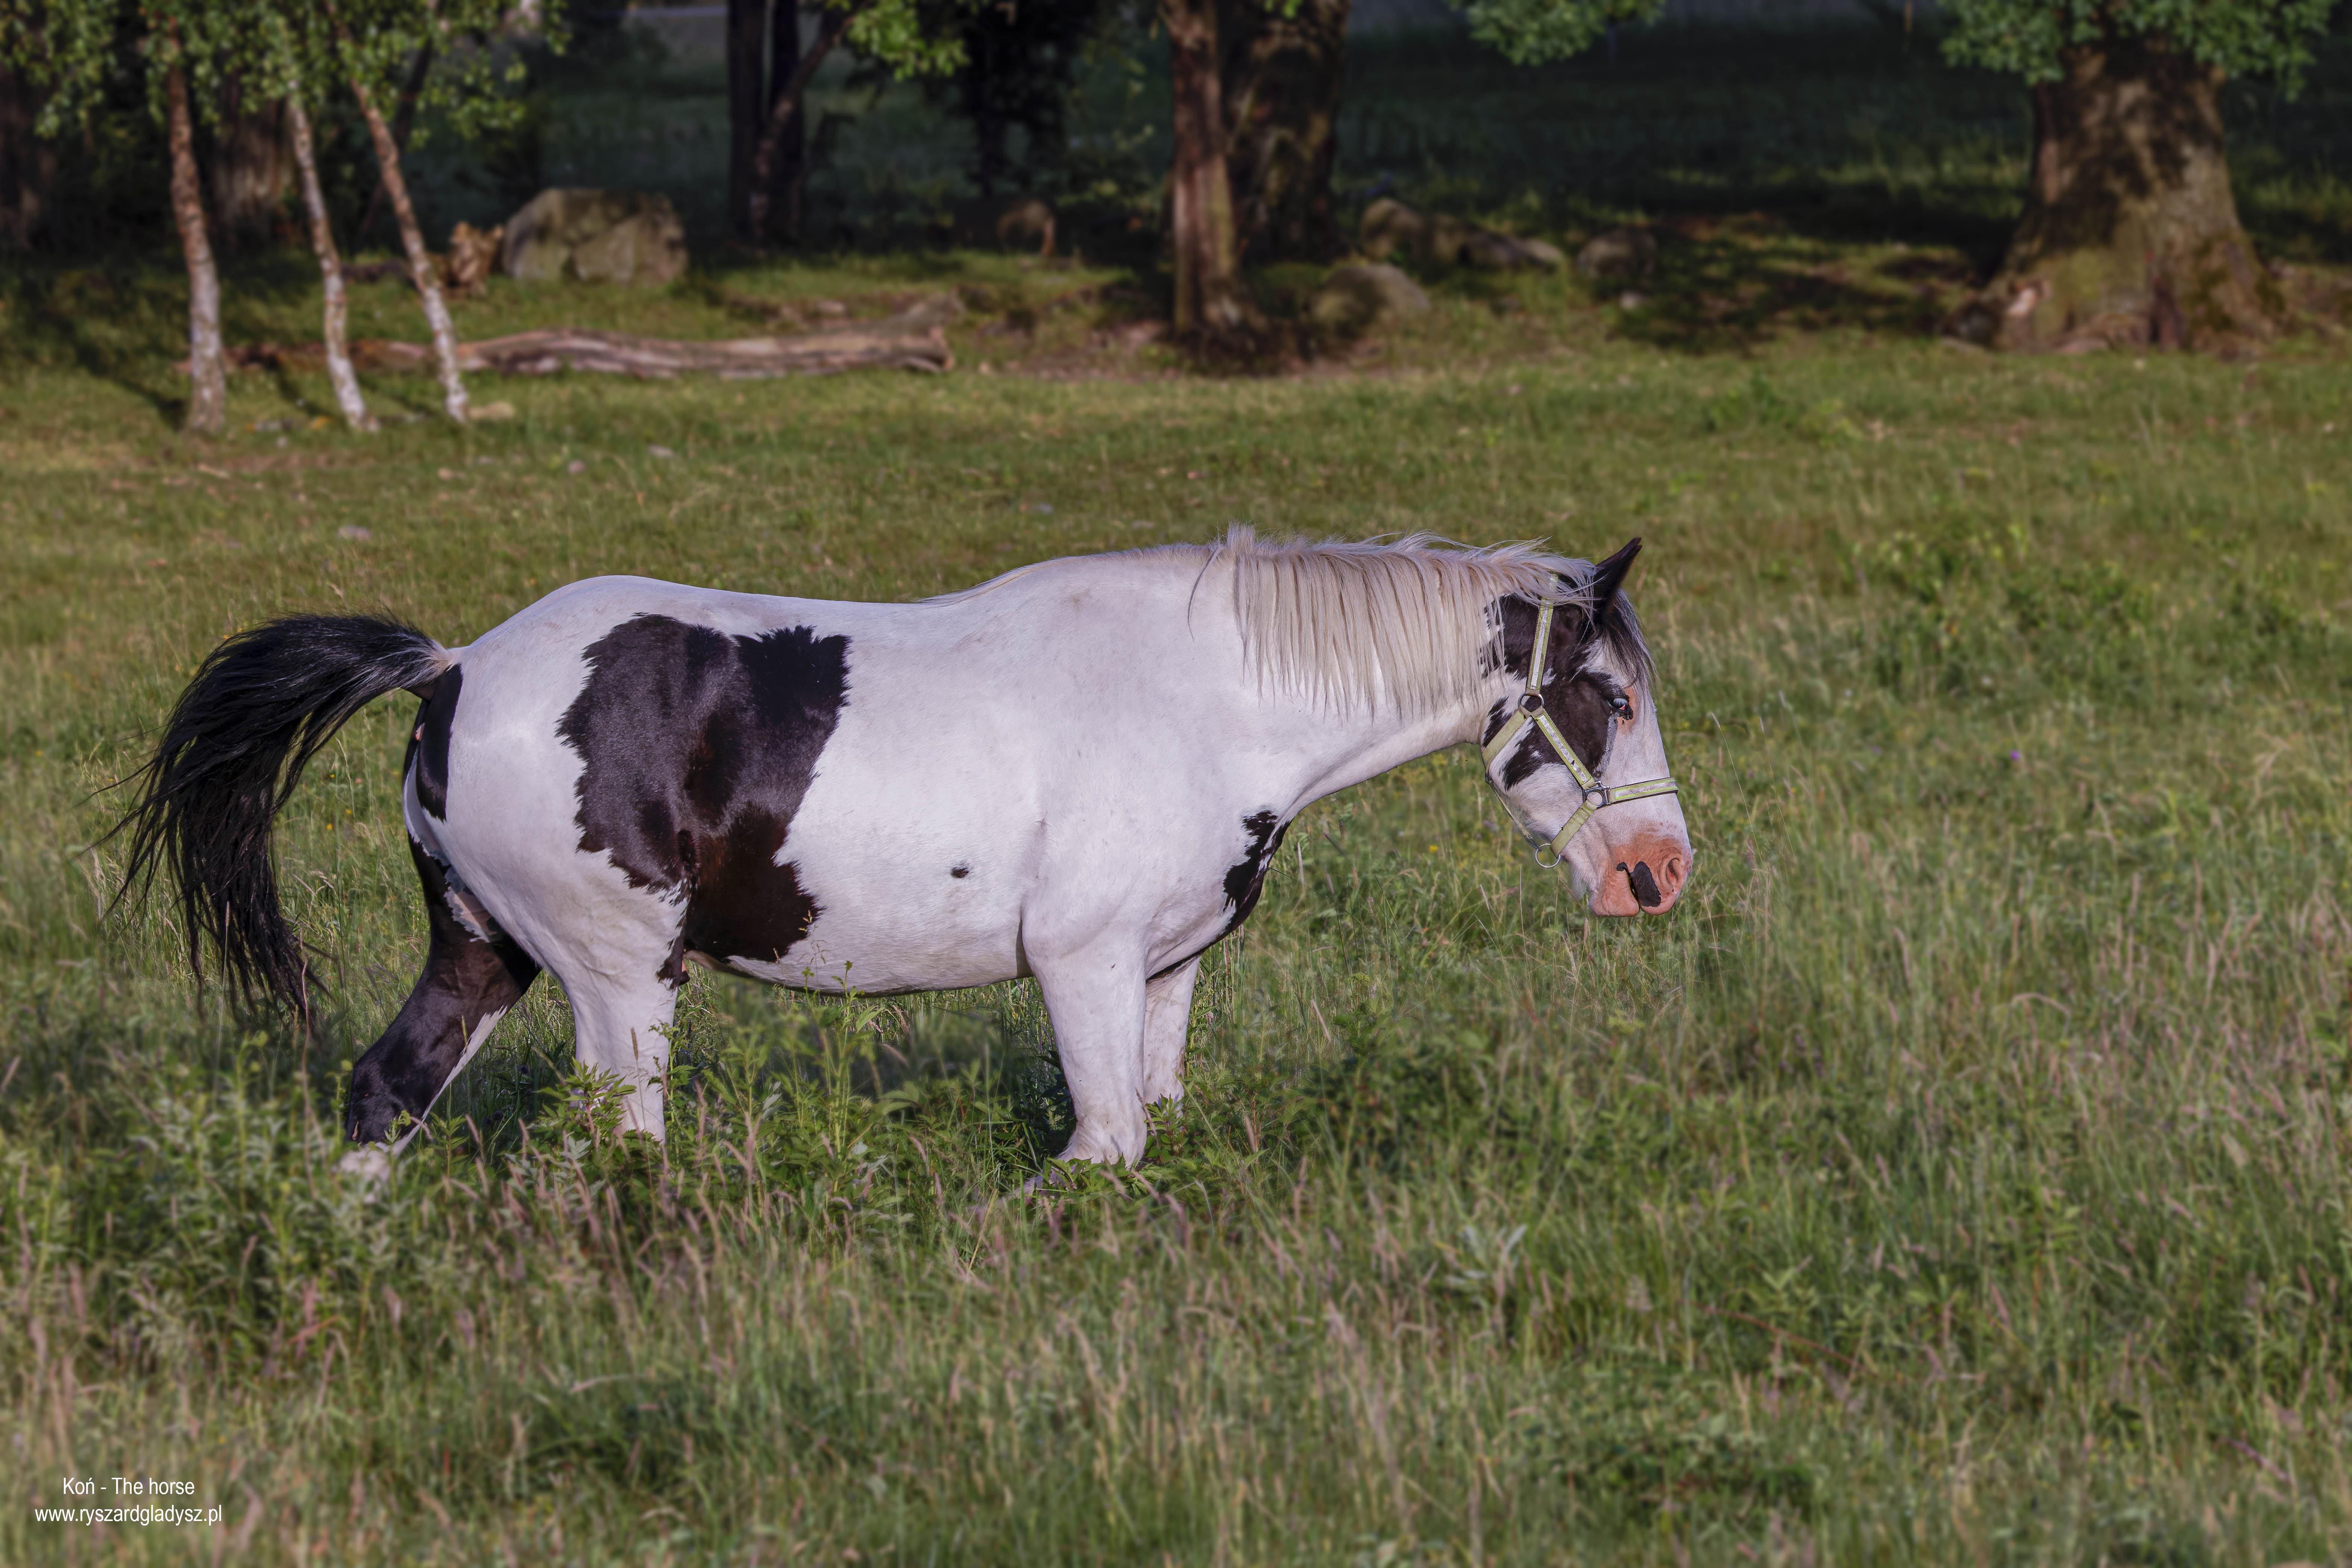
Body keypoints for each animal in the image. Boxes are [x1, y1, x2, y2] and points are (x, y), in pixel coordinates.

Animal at [116, 529, 1691, 1171]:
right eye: (1605, 696)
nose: (1658, 872)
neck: (1207, 697)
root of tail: (450, 669)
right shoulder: (1078, 965)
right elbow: (1101, 1150)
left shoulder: (1164, 972)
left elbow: (1153, 1132)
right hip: (617, 980)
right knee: (619, 1145)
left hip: (483, 949)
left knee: (385, 1098)